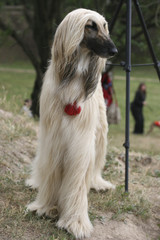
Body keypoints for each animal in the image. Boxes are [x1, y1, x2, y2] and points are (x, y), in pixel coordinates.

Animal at [26, 8, 116, 239]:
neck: (74, 75)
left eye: (105, 26)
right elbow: (51, 169)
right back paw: (36, 181)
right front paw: (46, 207)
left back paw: (97, 182)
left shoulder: (80, 140)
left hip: (100, 129)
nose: (114, 50)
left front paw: (75, 221)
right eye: (90, 26)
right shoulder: (54, 135)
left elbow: (78, 176)